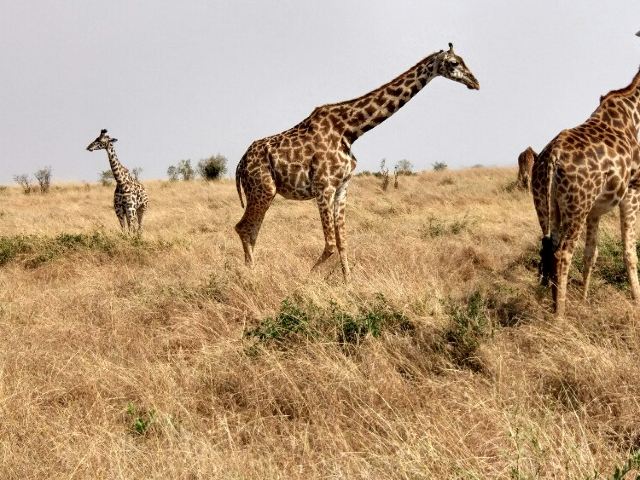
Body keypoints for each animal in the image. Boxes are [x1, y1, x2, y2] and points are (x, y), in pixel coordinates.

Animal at [232, 44, 478, 280]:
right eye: (454, 62)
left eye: (464, 60)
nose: (475, 82)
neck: (351, 130)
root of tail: (240, 164)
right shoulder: (324, 187)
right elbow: (330, 244)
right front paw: (306, 279)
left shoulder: (342, 187)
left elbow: (342, 241)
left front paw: (348, 283)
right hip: (263, 189)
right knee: (243, 228)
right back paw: (251, 275)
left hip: (264, 192)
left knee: (252, 230)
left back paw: (252, 271)